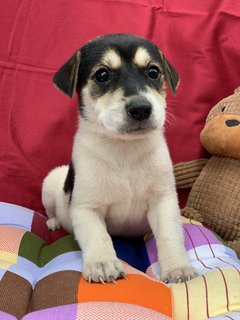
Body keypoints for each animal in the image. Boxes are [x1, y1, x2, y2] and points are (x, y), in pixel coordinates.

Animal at [42, 34, 197, 284]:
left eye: (153, 72)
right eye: (102, 75)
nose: (141, 108)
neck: (124, 149)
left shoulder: (163, 199)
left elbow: (169, 236)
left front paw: (177, 268)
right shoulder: (86, 208)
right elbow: (98, 236)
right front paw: (103, 263)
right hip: (50, 183)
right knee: (51, 210)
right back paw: (54, 222)